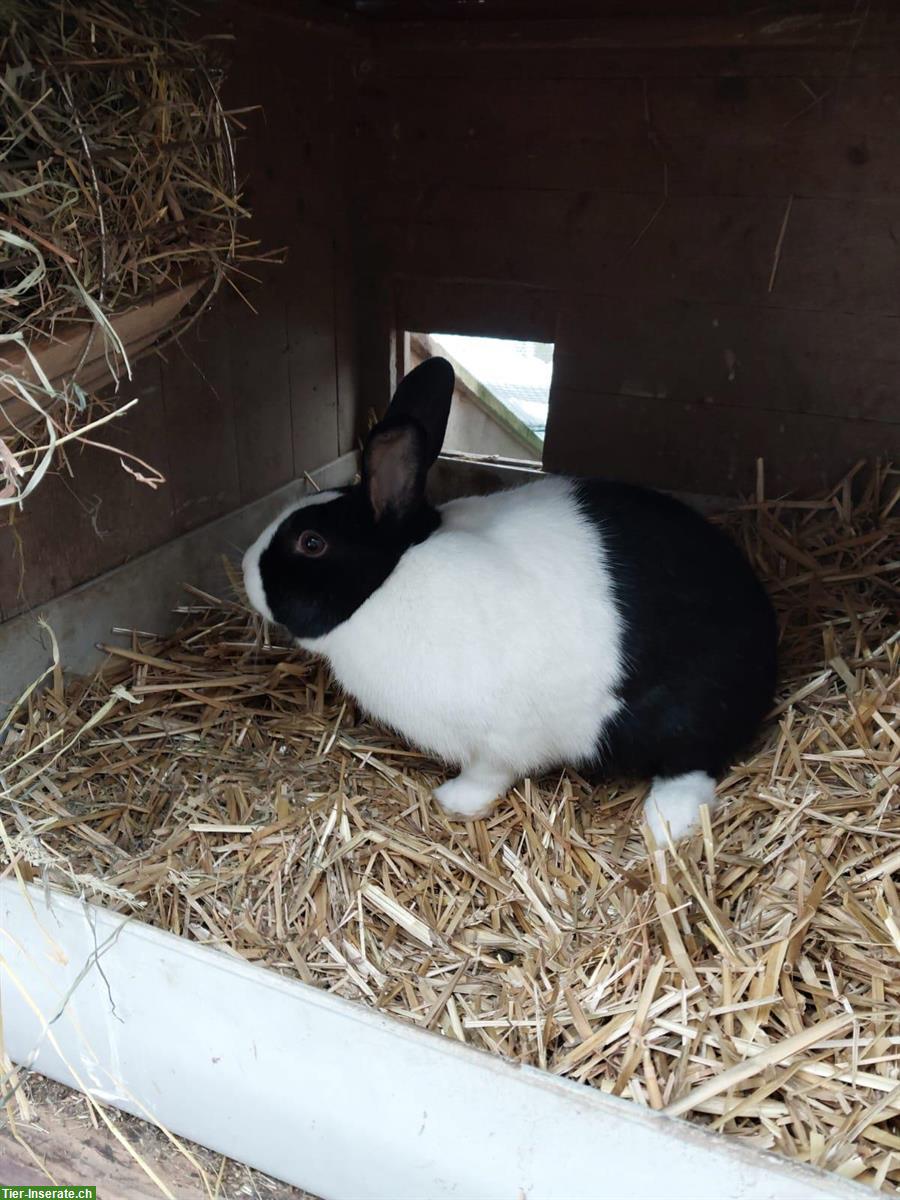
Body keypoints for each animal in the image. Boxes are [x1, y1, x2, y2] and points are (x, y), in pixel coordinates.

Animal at [242, 356, 777, 842]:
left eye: (311, 542)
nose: (246, 568)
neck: (389, 581)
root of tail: (767, 647)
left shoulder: (499, 738)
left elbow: (489, 774)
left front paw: (454, 801)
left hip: (683, 715)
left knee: (693, 766)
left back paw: (666, 825)